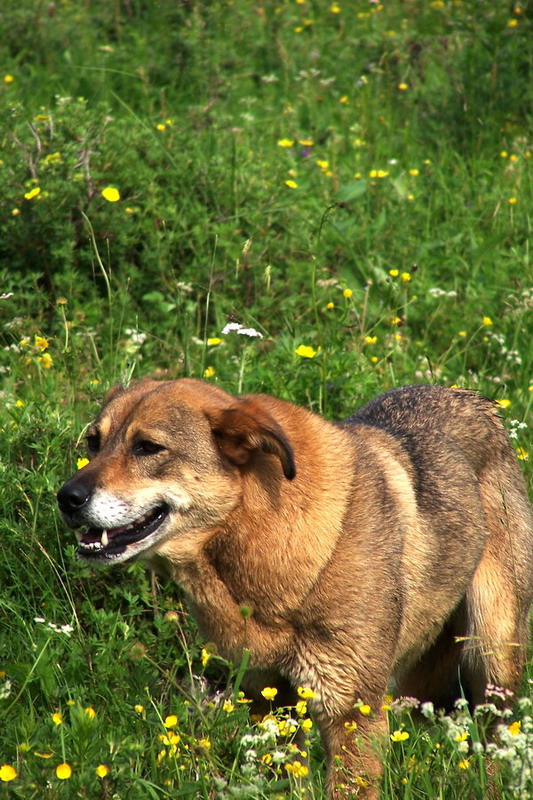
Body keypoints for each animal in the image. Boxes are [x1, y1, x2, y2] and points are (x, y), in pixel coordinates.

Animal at [57, 380, 532, 792]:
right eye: (94, 443)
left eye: (148, 447)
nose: (66, 498)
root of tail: (476, 401)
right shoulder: (269, 699)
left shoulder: (352, 712)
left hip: (492, 655)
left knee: (496, 744)